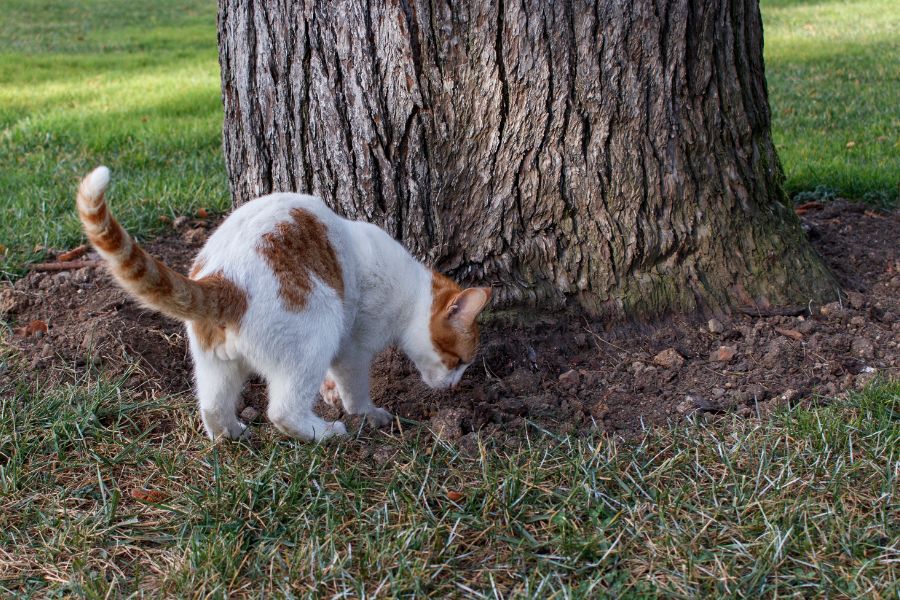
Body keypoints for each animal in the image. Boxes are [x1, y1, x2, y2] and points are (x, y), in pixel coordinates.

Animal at [75, 166, 492, 442]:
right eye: (459, 361)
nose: (455, 386)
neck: (410, 290)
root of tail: (223, 280)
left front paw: (330, 392)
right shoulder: (353, 348)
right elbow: (355, 390)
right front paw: (367, 414)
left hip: (213, 364)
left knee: (212, 406)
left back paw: (232, 434)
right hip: (318, 331)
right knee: (283, 411)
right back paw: (325, 432)